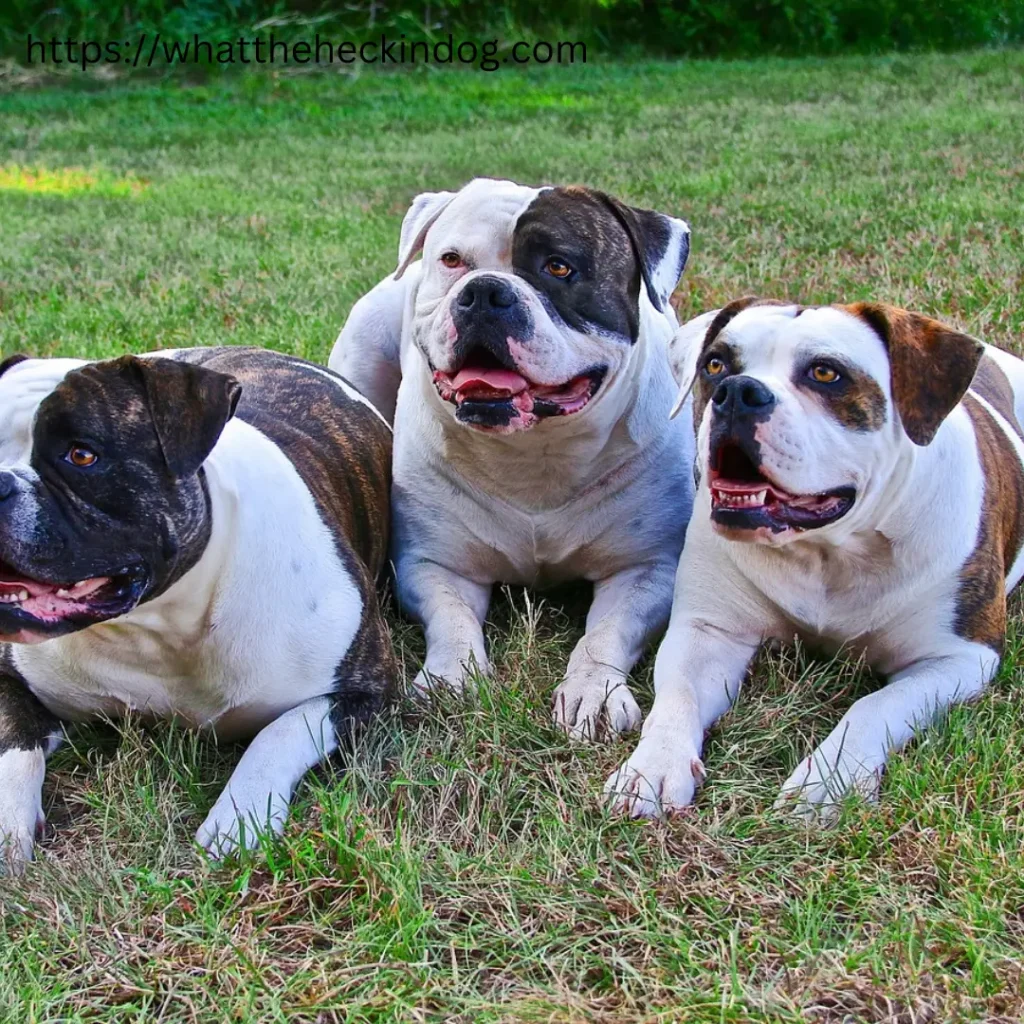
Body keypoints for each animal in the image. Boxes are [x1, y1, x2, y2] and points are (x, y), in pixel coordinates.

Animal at [331, 176, 692, 737]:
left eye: (559, 267)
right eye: (452, 260)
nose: (484, 291)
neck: (533, 451)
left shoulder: (647, 569)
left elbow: (606, 631)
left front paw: (593, 690)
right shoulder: (435, 565)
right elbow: (453, 621)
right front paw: (452, 679)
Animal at [602, 296, 1024, 815]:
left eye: (825, 373)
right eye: (715, 365)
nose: (738, 392)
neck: (827, 550)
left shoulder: (958, 658)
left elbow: (874, 706)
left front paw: (829, 780)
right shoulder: (708, 632)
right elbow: (677, 697)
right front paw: (653, 769)